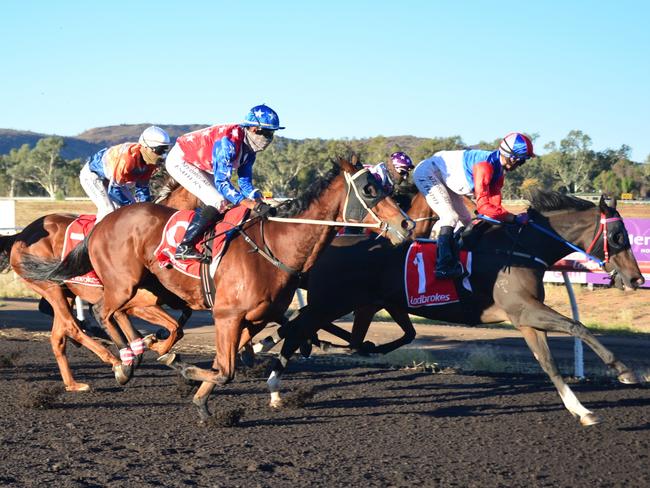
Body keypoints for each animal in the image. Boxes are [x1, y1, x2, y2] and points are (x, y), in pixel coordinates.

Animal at [0, 177, 199, 390]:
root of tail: (19, 236)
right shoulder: (133, 302)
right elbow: (165, 327)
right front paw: (137, 353)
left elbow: (179, 320)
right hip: (50, 288)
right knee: (70, 326)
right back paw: (112, 360)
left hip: (64, 291)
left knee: (58, 334)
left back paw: (73, 383)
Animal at [21, 158, 416, 418]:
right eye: (369, 189)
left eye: (388, 187)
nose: (407, 225)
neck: (276, 245)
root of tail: (104, 222)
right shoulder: (228, 314)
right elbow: (224, 369)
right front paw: (186, 374)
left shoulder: (254, 318)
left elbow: (232, 358)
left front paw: (199, 394)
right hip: (120, 285)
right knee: (103, 313)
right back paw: (123, 360)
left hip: (138, 289)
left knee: (117, 319)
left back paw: (137, 352)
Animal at [264, 193, 644, 426]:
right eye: (619, 237)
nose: (637, 278)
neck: (521, 248)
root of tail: (331, 243)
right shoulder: (523, 310)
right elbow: (577, 327)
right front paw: (625, 370)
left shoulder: (526, 320)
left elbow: (550, 364)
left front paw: (581, 410)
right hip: (331, 302)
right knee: (294, 330)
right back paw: (275, 385)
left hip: (362, 303)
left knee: (309, 331)